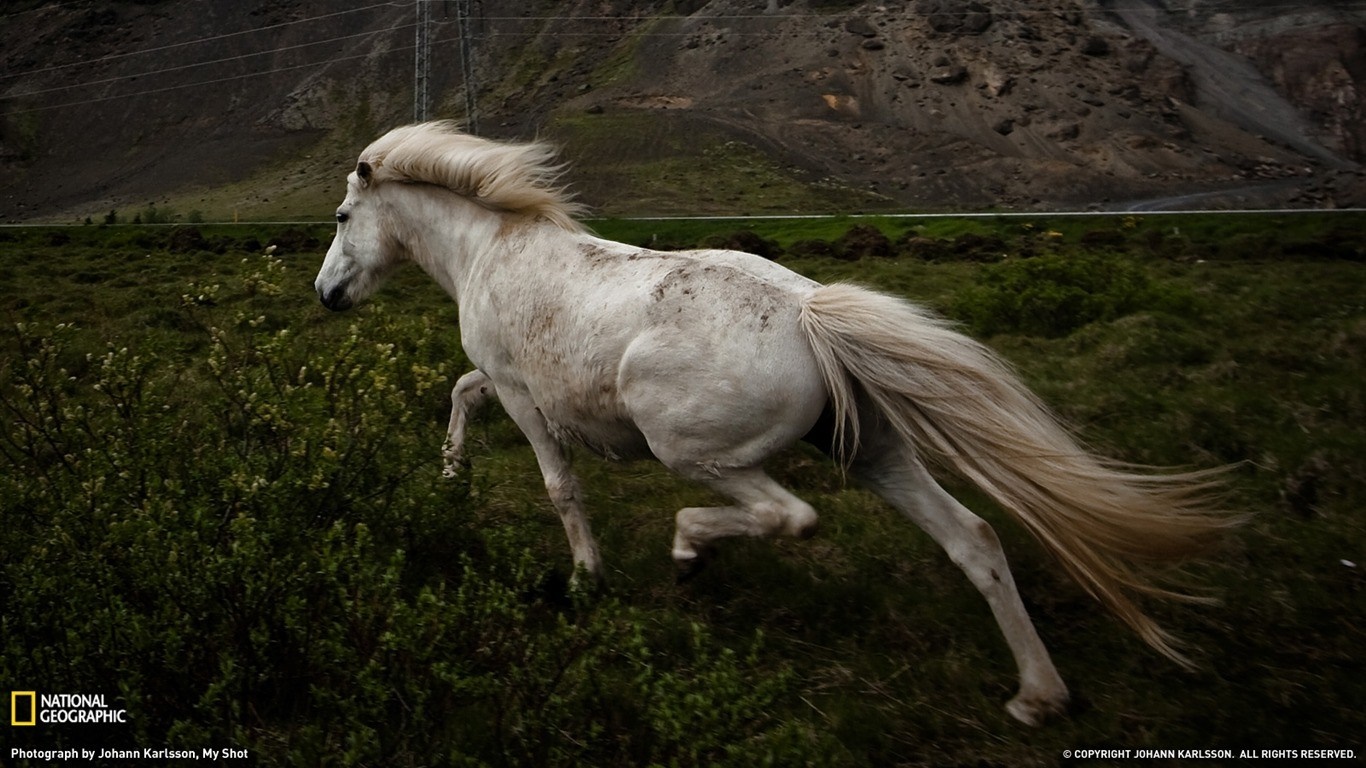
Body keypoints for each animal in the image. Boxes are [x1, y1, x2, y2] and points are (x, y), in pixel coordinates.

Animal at [313, 120, 1239, 726]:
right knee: (974, 538)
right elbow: (461, 395)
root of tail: (809, 313)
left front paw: (584, 579)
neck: (492, 250)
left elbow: (557, 485)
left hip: (693, 450)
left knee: (787, 515)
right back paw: (1038, 696)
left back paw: (690, 552)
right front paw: (450, 477)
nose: (325, 295)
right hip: (874, 454)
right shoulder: (511, 387)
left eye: (341, 219)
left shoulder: (523, 394)